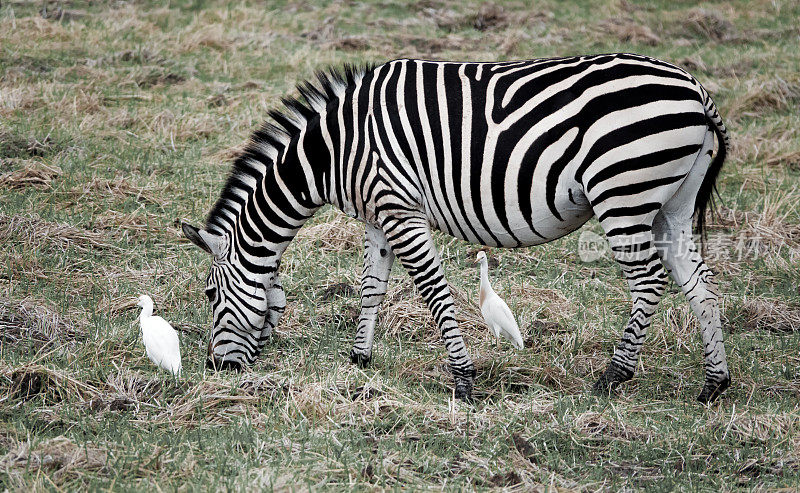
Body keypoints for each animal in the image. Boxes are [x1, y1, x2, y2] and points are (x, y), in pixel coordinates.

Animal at [184, 52, 736, 404]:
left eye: (210, 296)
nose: (216, 371)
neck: (334, 151)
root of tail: (696, 90)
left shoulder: (401, 209)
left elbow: (433, 292)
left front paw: (463, 379)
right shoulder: (380, 213)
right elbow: (370, 287)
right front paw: (359, 360)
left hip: (623, 191)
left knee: (650, 280)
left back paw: (612, 377)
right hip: (672, 203)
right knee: (699, 282)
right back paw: (713, 384)